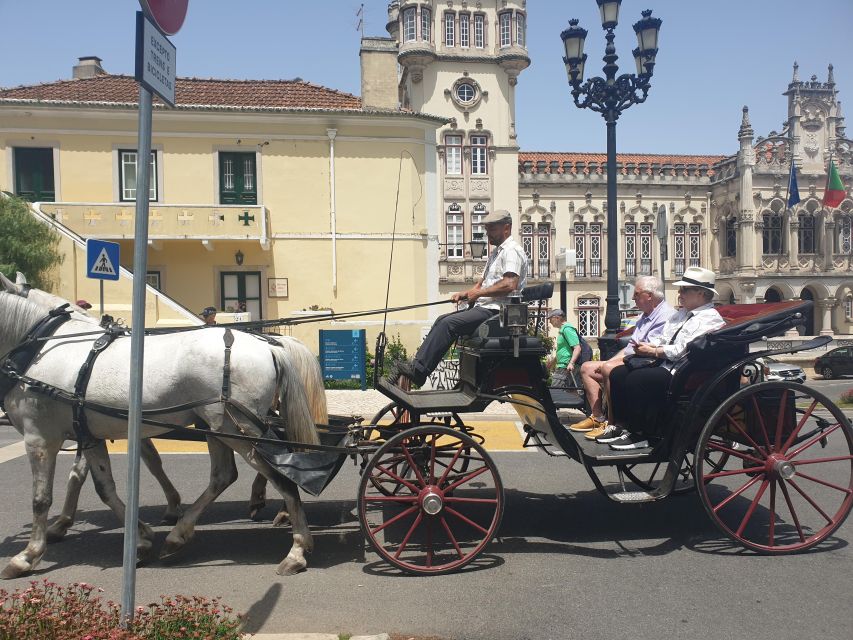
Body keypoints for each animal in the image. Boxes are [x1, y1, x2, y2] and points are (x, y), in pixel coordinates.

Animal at [0, 282, 322, 576]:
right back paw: (179, 535)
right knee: (224, 475)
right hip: (218, 427)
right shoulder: (90, 436)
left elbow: (41, 498)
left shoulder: (40, 438)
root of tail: (267, 345)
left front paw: (27, 555)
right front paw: (140, 537)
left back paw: (295, 549)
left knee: (283, 475)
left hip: (238, 428)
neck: (40, 348)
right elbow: (103, 487)